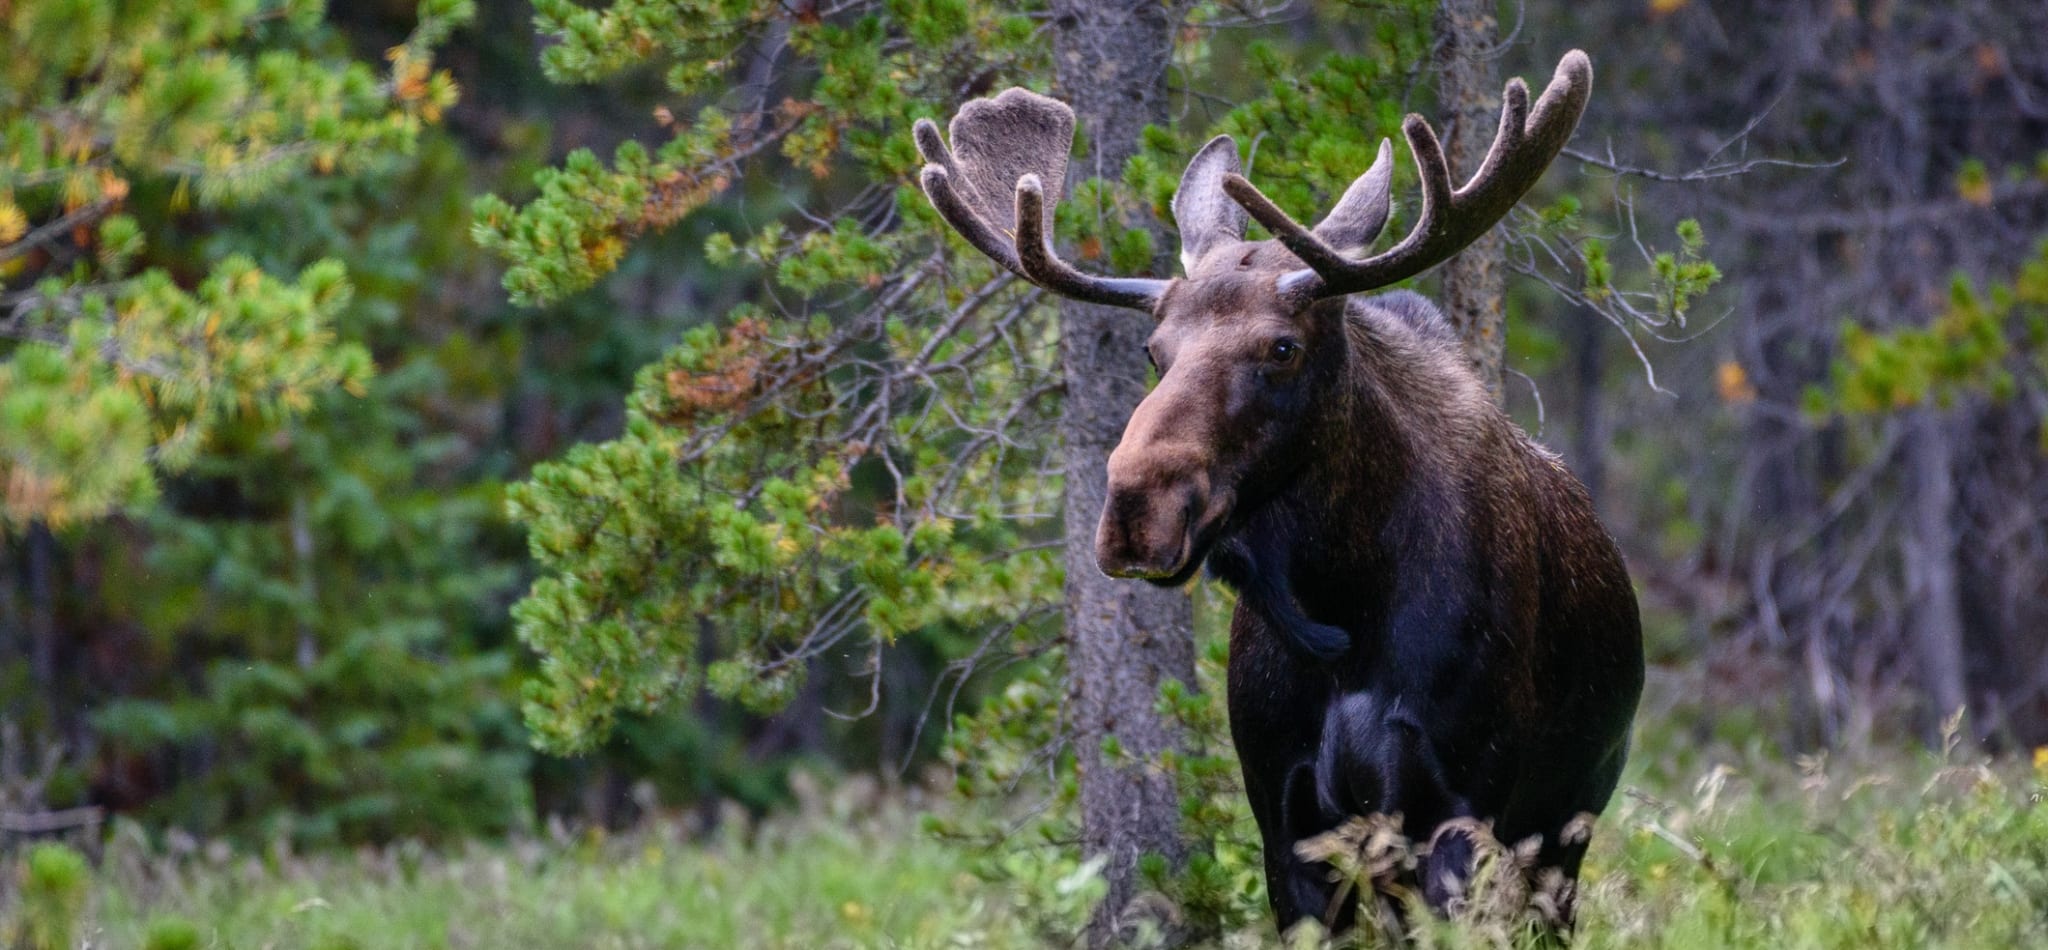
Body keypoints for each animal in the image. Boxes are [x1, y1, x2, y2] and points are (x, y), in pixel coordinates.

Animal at [913, 48, 1646, 929]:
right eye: (1155, 350)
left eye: (1283, 347)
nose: (1136, 511)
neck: (1345, 609)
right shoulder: (1285, 817)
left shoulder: (1459, 808)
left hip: (1565, 824)